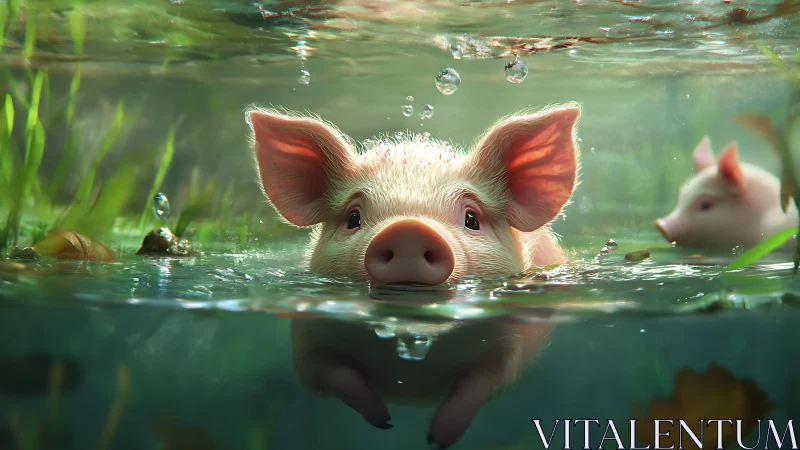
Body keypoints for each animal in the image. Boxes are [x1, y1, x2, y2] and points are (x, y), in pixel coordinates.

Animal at [245, 102, 582, 447]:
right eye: (353, 217)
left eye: (472, 219)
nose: (408, 228)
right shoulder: (308, 337)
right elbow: (328, 374)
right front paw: (384, 422)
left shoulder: (510, 342)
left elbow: (482, 383)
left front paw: (436, 439)